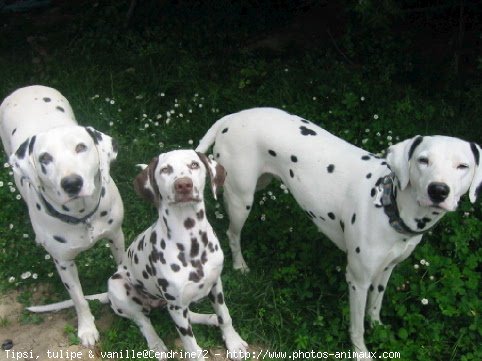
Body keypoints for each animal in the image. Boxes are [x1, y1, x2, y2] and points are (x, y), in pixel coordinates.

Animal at [0, 84, 124, 346]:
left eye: (81, 147)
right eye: (45, 158)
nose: (72, 183)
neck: (83, 215)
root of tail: (27, 87)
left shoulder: (116, 237)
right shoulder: (64, 263)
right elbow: (78, 298)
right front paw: (87, 329)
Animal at [107, 148, 247, 358]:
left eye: (194, 165)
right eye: (165, 169)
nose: (183, 185)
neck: (192, 242)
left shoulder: (216, 286)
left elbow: (225, 316)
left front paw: (233, 342)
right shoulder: (176, 305)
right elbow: (191, 346)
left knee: (189, 315)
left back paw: (209, 318)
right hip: (118, 287)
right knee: (143, 321)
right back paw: (156, 345)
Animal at [197, 106, 482, 358]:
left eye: (462, 166)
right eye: (423, 160)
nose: (439, 190)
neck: (389, 205)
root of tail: (233, 117)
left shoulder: (385, 271)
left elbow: (375, 308)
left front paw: (377, 328)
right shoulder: (357, 280)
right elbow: (357, 328)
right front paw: (361, 353)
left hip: (259, 184)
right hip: (241, 200)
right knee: (232, 234)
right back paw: (240, 264)